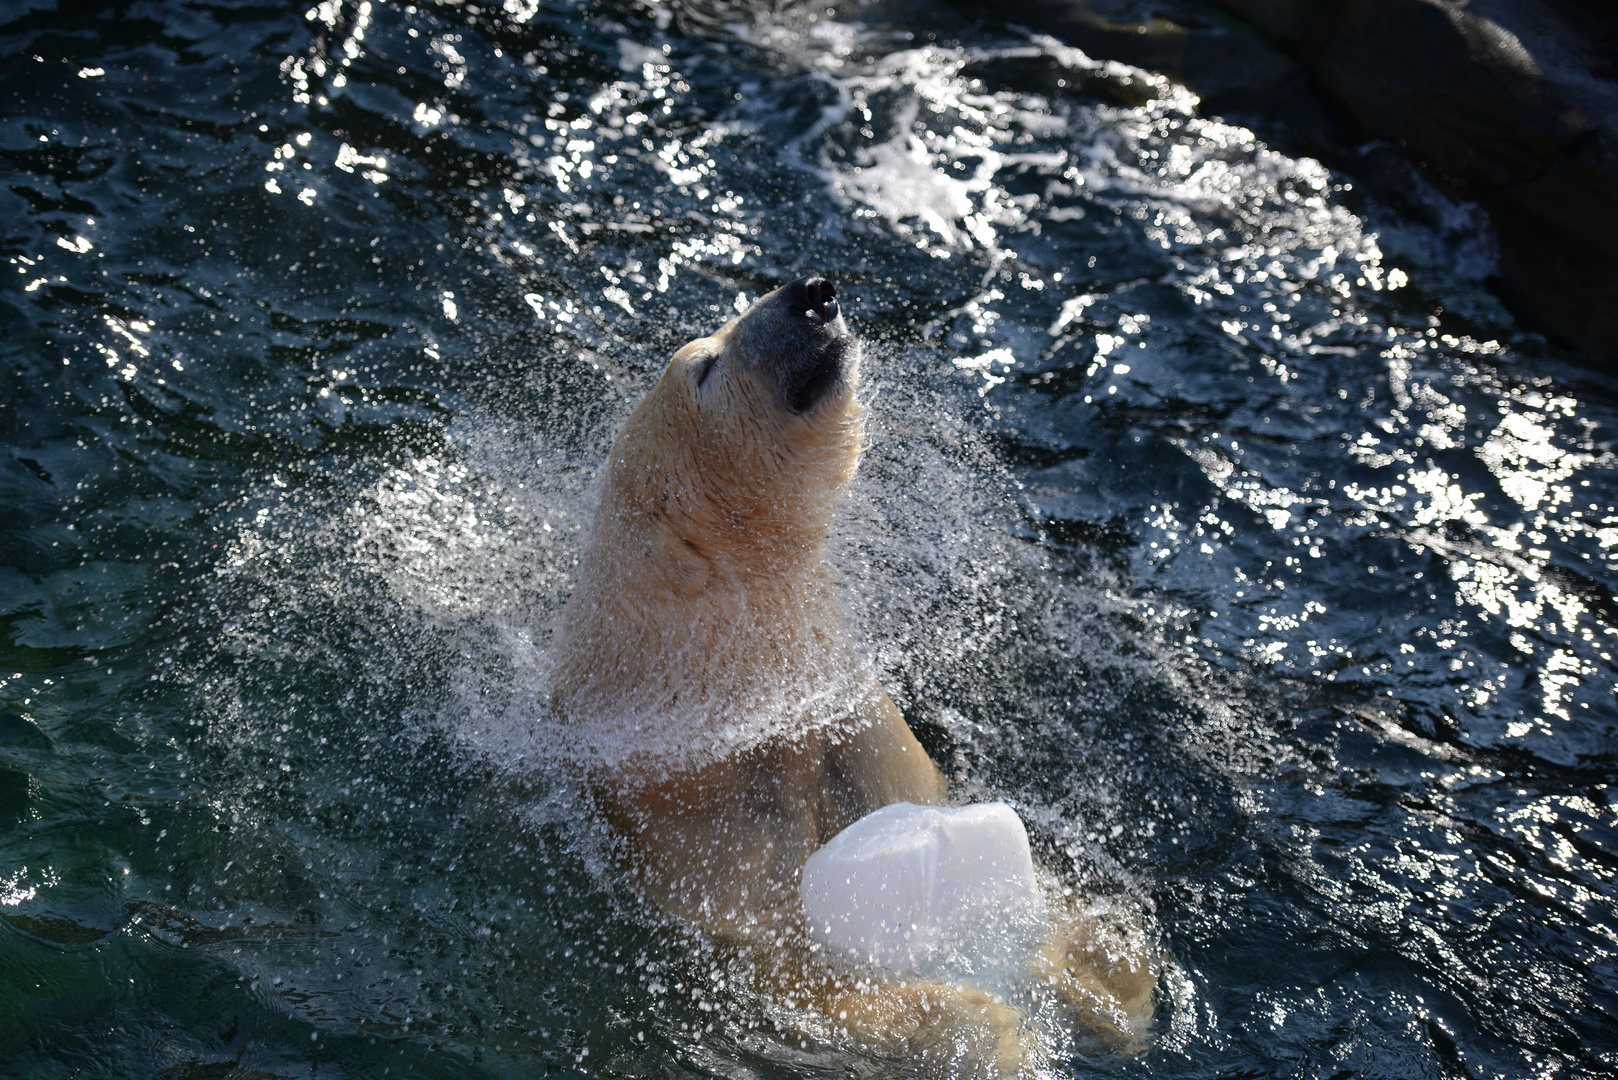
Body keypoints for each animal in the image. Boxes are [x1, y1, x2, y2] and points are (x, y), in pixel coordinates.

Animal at [550, 275, 1158, 1068]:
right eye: (705, 368)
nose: (811, 292)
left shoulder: (851, 722)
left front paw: (1110, 971)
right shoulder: (704, 831)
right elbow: (802, 976)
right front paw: (994, 1030)